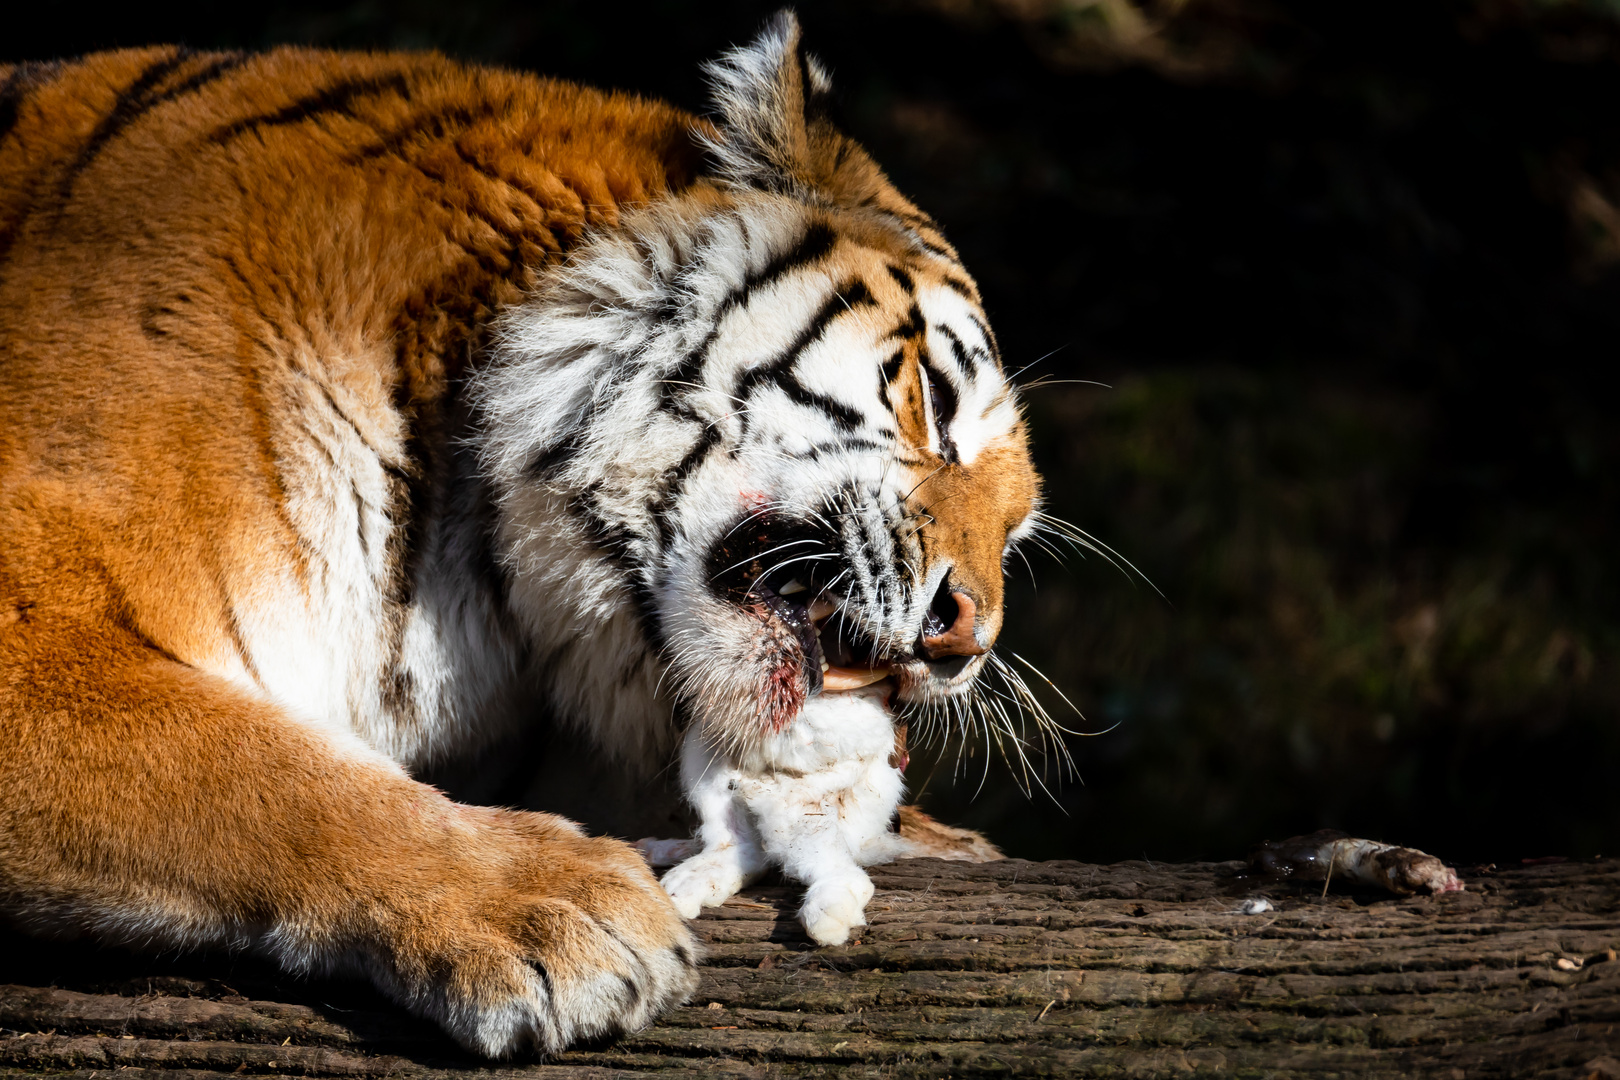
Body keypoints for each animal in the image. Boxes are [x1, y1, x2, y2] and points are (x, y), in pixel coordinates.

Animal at [0, 12, 1036, 1062]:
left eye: (1017, 529)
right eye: (935, 406)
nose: (967, 642)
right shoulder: (37, 625)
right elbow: (263, 773)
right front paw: (561, 911)